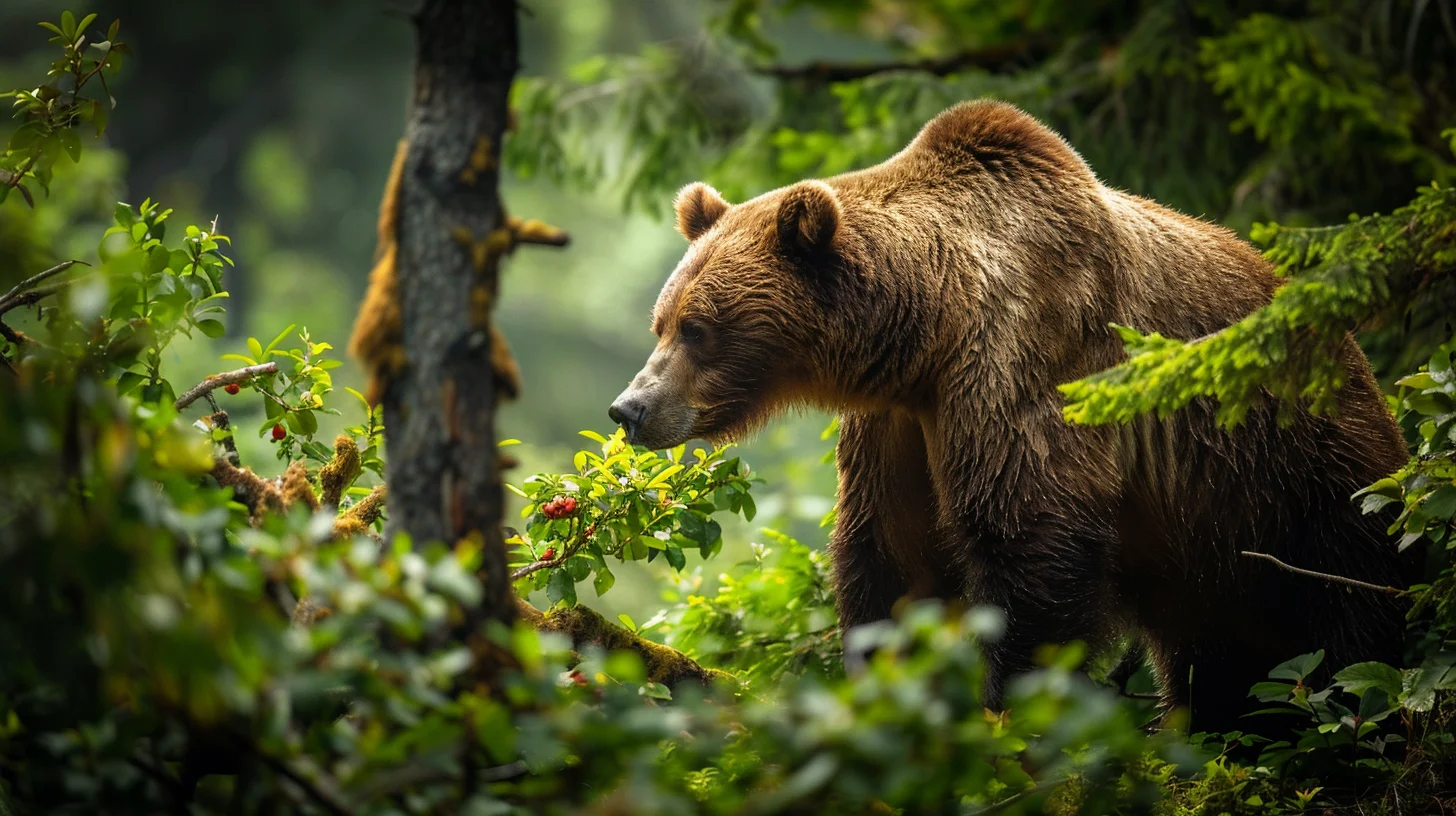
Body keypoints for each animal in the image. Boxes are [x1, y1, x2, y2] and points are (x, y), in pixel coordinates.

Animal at [608, 99, 1415, 737]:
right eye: (661, 322)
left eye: (698, 329)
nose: (629, 408)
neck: (926, 327)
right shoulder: (898, 424)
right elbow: (894, 556)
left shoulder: (1023, 354)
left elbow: (1028, 534)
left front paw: (1009, 714)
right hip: (1214, 541)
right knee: (1223, 658)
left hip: (1306, 477)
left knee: (1345, 622)